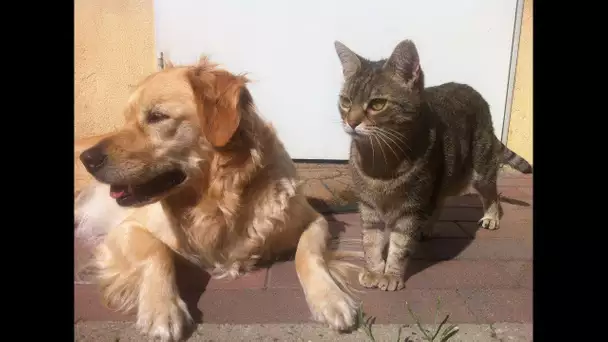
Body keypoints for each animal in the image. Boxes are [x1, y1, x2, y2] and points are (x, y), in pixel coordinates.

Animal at [75, 58, 360, 342]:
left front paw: (330, 299)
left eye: (156, 116)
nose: (88, 159)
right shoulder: (127, 228)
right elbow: (157, 252)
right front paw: (162, 309)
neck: (219, 202)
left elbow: (308, 253)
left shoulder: (314, 219)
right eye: (125, 119)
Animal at [332, 40, 532, 292]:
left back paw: (491, 217)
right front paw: (374, 271)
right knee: (440, 200)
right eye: (345, 102)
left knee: (491, 194)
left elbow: (399, 246)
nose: (351, 122)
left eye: (378, 104)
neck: (381, 161)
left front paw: (391, 275)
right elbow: (371, 242)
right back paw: (426, 228)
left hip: (478, 169)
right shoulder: (368, 207)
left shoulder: (411, 207)